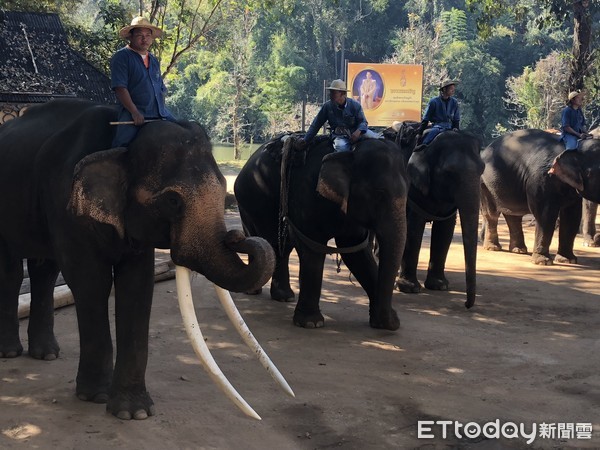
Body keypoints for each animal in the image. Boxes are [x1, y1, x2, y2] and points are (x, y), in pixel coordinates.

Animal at [0, 98, 290, 418]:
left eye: (221, 188)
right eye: (173, 200)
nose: (237, 237)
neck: (122, 145)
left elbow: (138, 284)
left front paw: (132, 412)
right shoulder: (65, 205)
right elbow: (90, 281)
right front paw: (96, 397)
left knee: (44, 269)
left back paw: (47, 355)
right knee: (12, 272)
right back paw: (10, 352)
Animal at [234, 134, 408, 330]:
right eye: (379, 194)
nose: (392, 323)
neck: (350, 151)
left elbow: (356, 252)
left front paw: (385, 323)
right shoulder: (307, 195)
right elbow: (313, 249)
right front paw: (311, 323)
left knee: (280, 246)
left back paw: (285, 297)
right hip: (249, 201)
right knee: (261, 239)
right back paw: (253, 291)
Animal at [392, 121, 486, 308]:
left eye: (483, 169)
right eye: (449, 173)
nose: (466, 304)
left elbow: (445, 229)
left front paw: (439, 286)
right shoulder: (413, 188)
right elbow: (413, 227)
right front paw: (409, 288)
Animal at [480, 128, 600, 266]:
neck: (576, 146)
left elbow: (572, 216)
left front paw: (568, 260)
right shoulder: (542, 179)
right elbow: (545, 215)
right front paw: (543, 262)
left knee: (513, 215)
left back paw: (519, 250)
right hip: (485, 184)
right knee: (492, 214)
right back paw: (493, 248)